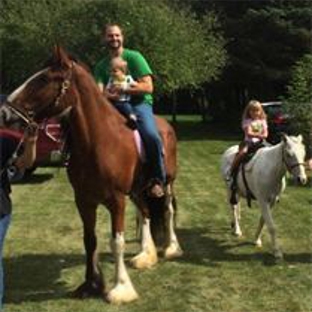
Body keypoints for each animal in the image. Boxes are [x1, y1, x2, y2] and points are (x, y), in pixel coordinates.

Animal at [5, 45, 183, 302]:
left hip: (167, 183)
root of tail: (167, 126)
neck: (99, 140)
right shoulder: (84, 200)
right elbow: (90, 240)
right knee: (146, 213)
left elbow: (116, 241)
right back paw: (145, 255)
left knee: (167, 210)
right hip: (137, 190)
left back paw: (171, 248)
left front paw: (121, 288)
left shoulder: (116, 200)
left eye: (44, 79)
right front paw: (91, 284)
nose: (5, 112)